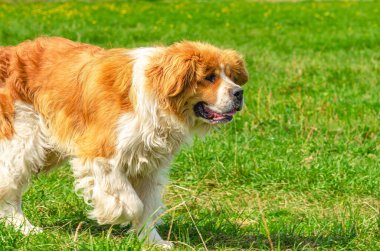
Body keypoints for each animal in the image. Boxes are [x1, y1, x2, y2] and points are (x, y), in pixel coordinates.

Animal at [0, 37, 248, 247]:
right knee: (10, 188)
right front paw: (112, 215)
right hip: (24, 140)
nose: (239, 93)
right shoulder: (100, 156)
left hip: (47, 149)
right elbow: (134, 204)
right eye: (209, 77)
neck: (156, 97)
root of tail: (9, 52)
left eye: (231, 77)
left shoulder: (148, 165)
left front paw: (153, 243)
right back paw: (25, 228)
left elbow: (148, 208)